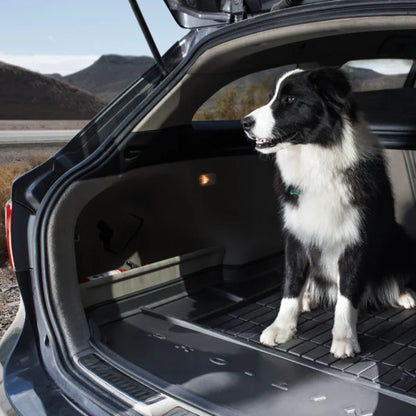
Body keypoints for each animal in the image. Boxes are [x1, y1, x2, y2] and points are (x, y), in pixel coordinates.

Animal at [240, 68, 416, 358]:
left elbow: (347, 296)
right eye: (272, 98)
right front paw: (282, 327)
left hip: (400, 237)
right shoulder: (296, 236)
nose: (244, 123)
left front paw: (344, 338)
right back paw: (308, 298)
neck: (317, 160)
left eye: (290, 100)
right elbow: (291, 285)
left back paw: (404, 294)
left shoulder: (356, 240)